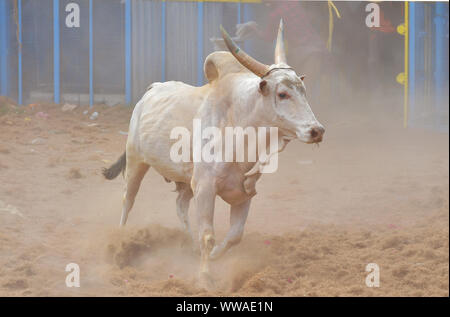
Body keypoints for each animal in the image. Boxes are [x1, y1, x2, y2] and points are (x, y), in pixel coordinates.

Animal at [103, 21, 326, 278]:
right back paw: (120, 241)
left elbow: (234, 236)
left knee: (180, 207)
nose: (317, 130)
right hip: (135, 161)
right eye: (282, 94)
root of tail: (152, 90)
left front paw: (214, 256)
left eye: (304, 91)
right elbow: (208, 236)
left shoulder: (243, 193)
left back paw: (189, 245)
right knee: (128, 200)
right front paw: (205, 277)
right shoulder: (205, 189)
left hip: (184, 181)